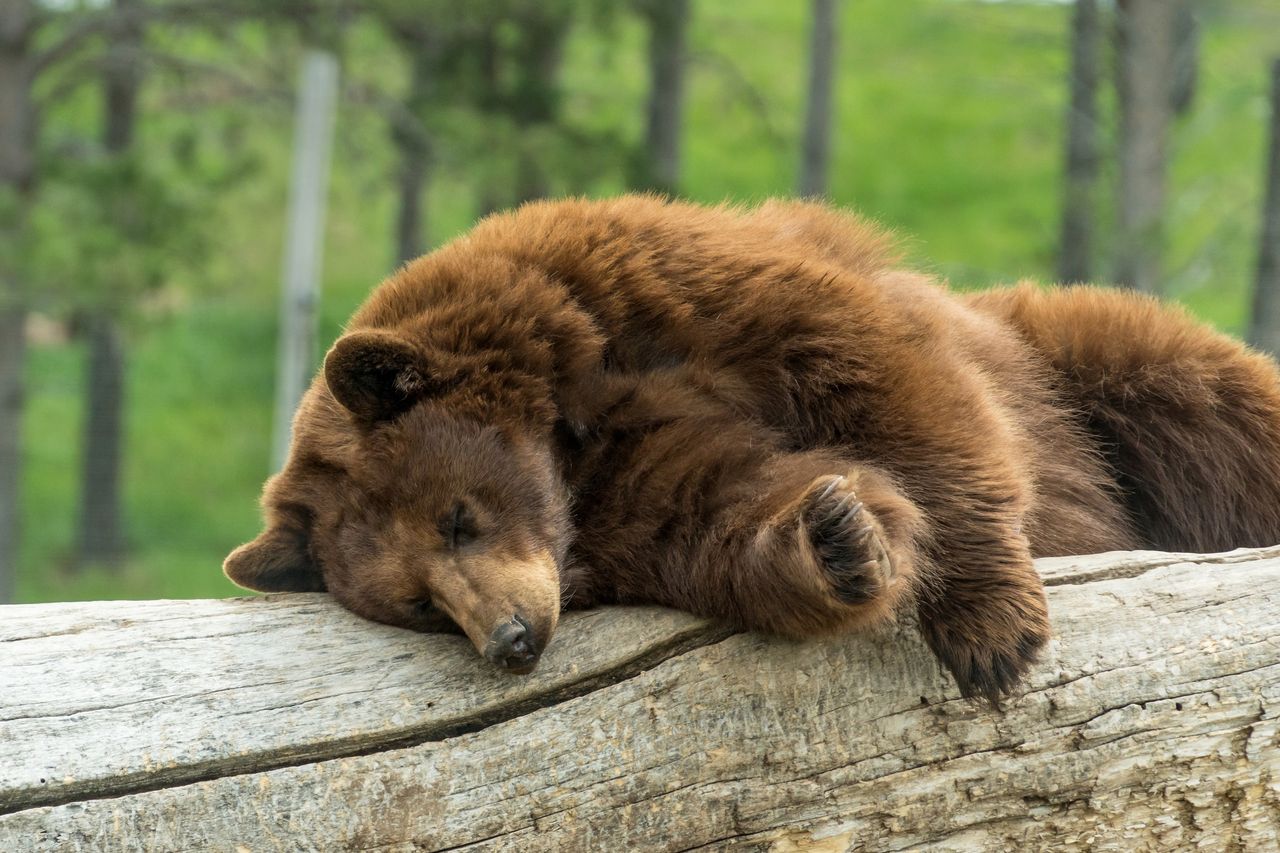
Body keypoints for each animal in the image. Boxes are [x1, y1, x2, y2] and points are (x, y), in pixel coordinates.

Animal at [225, 195, 1280, 701]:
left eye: (457, 516)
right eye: (418, 605)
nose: (512, 639)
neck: (570, 432)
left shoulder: (667, 293)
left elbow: (885, 376)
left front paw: (990, 634)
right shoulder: (629, 492)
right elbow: (727, 511)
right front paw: (840, 536)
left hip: (1076, 366)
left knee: (1198, 394)